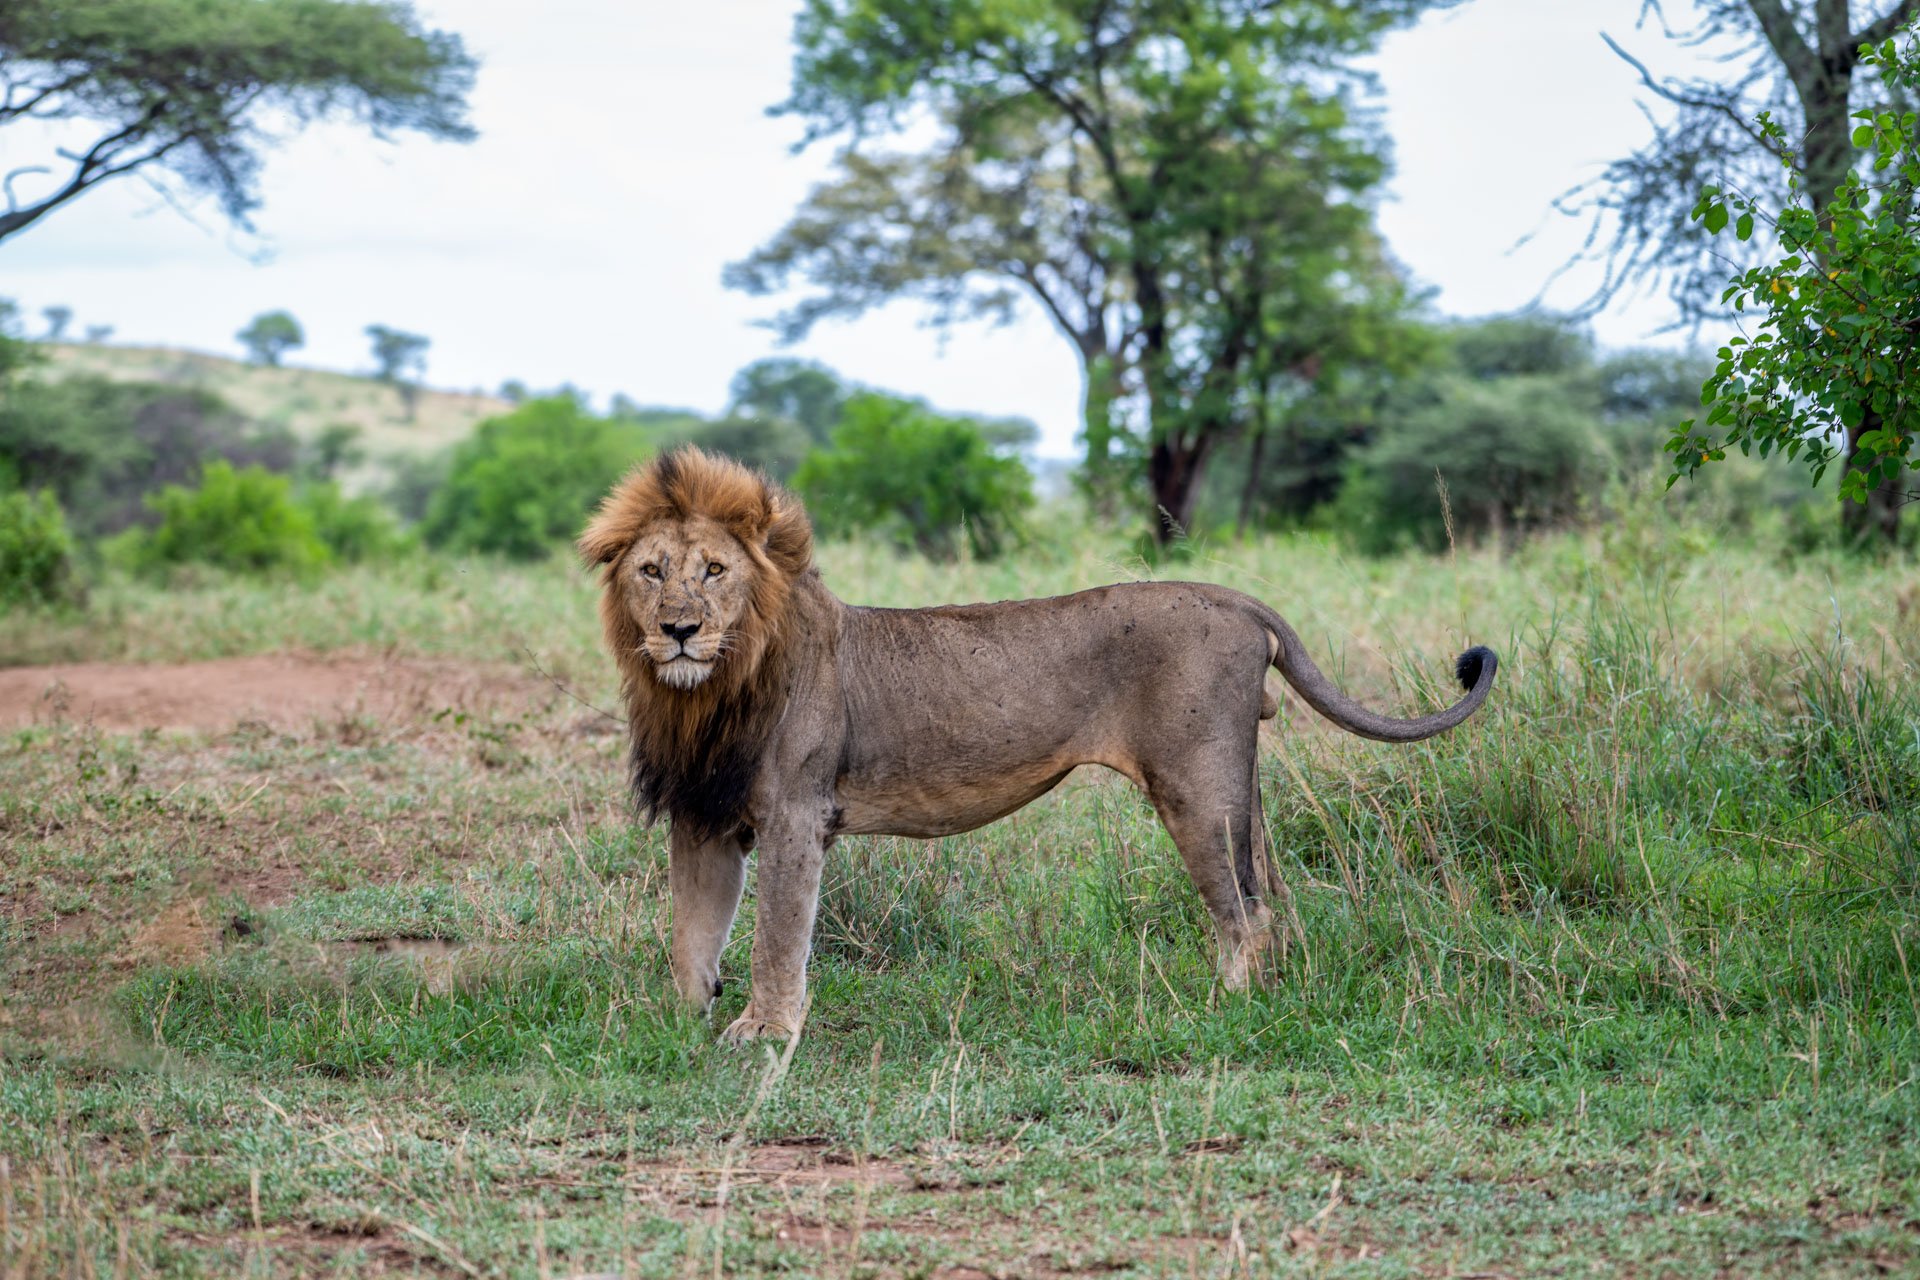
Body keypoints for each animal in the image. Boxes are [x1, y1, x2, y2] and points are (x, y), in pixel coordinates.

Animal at [579, 447, 1498, 1043]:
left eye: (715, 571)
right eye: (651, 572)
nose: (680, 630)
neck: (704, 695)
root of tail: (1235, 597)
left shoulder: (798, 815)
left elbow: (777, 936)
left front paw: (764, 1033)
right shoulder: (704, 817)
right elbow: (691, 936)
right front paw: (680, 1024)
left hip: (1196, 788)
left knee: (1246, 911)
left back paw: (1228, 1010)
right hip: (1241, 787)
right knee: (1274, 889)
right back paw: (1285, 990)